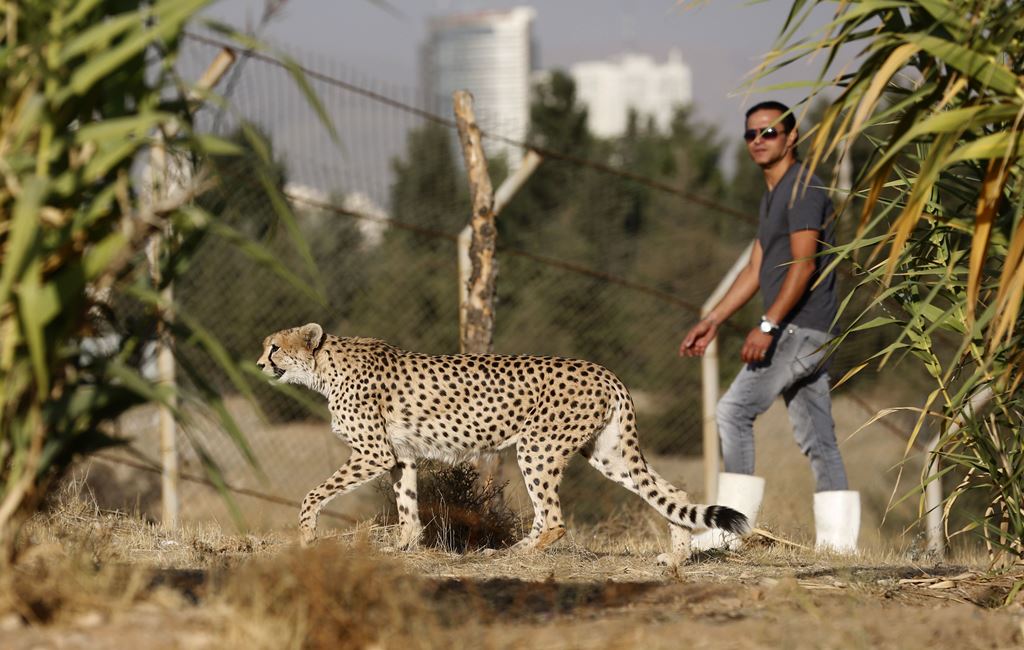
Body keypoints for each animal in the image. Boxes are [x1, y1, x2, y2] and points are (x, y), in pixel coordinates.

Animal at [257, 323, 749, 566]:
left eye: (275, 347)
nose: (260, 363)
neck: (324, 366)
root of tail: (606, 372)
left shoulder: (373, 454)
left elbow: (313, 494)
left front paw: (306, 536)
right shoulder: (401, 456)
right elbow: (408, 507)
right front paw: (403, 546)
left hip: (537, 446)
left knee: (554, 519)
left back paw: (513, 554)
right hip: (609, 454)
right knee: (671, 494)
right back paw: (676, 557)